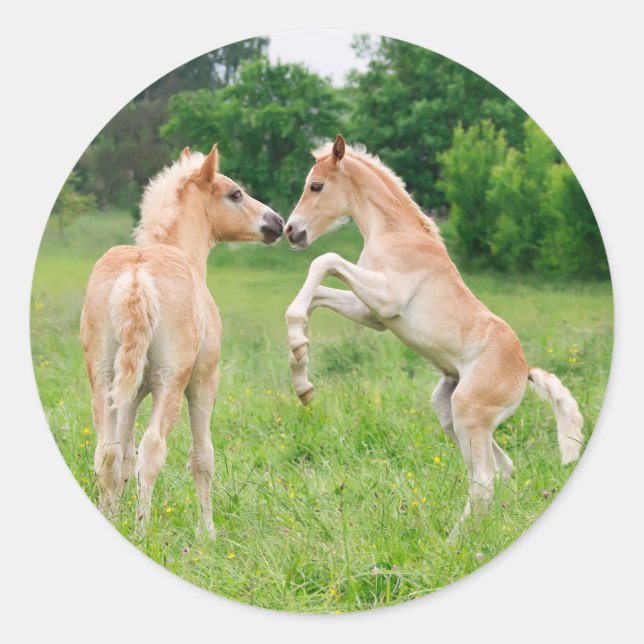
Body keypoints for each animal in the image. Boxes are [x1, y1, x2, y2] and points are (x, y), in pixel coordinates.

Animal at [80, 144, 284, 536]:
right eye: (235, 193)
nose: (277, 222)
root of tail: (137, 277)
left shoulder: (131, 394)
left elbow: (122, 456)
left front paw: (115, 514)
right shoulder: (204, 381)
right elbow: (202, 457)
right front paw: (209, 533)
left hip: (103, 379)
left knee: (107, 451)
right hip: (170, 382)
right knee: (152, 449)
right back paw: (143, 532)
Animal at [283, 134, 583, 537]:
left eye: (316, 186)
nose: (291, 231)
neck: (396, 233)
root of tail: (526, 371)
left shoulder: (386, 298)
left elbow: (324, 261)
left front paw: (299, 353)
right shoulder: (372, 313)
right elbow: (316, 296)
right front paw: (301, 371)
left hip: (469, 412)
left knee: (484, 481)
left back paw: (454, 541)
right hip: (450, 410)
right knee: (500, 469)